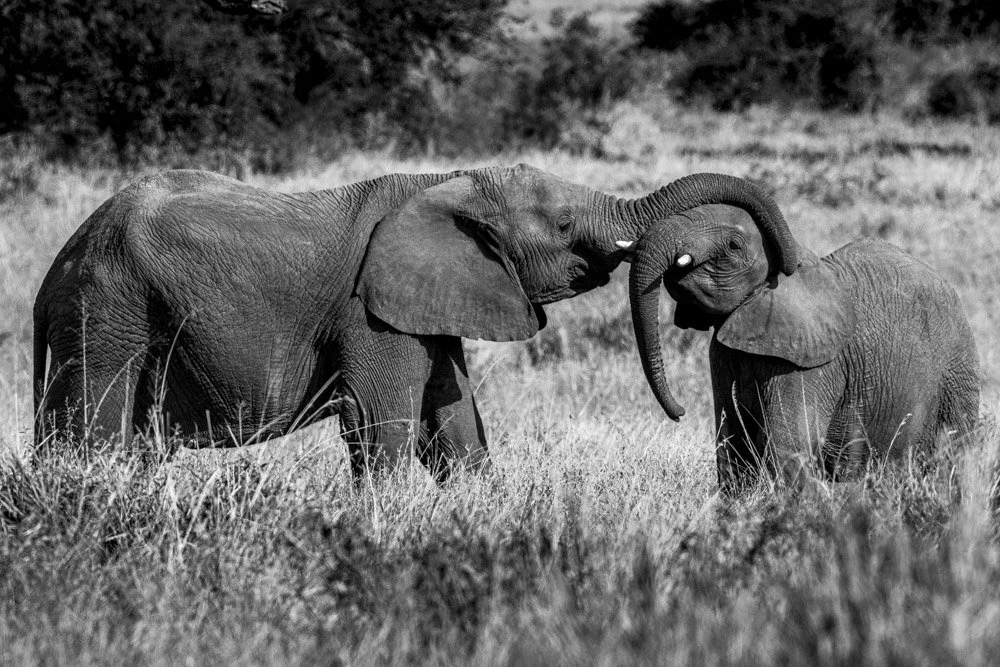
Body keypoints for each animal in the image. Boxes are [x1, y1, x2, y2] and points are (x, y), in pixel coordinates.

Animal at [33, 169, 799, 481]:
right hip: (106, 308)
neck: (450, 182)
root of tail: (65, 253)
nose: (781, 263)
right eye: (561, 225)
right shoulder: (370, 313)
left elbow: (457, 428)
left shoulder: (431, 305)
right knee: (94, 433)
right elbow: (381, 426)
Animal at [623, 177, 979, 492]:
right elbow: (732, 446)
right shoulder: (723, 355)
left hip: (957, 373)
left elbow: (787, 449)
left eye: (733, 246)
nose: (680, 413)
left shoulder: (812, 362)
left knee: (954, 454)